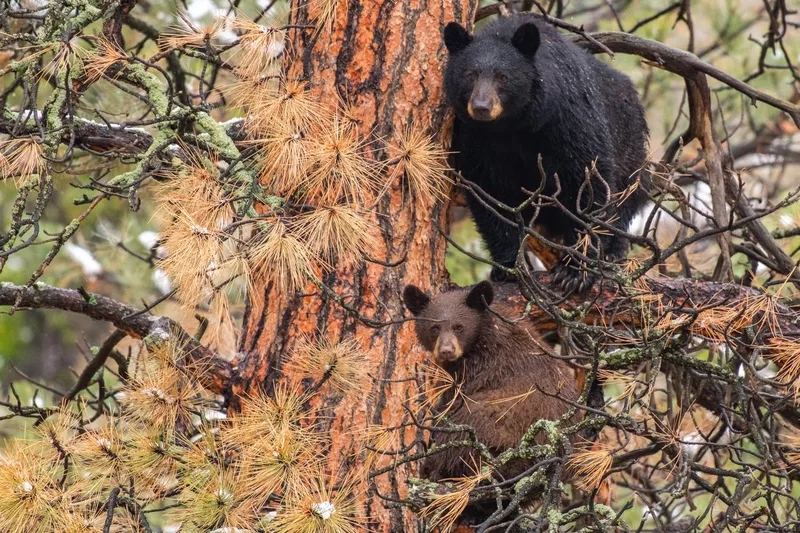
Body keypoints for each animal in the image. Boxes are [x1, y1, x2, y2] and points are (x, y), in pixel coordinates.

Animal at [404, 280, 580, 480]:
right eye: (434, 328)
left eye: (459, 326)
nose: (446, 351)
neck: (484, 335)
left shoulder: (476, 370)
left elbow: (451, 403)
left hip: (485, 423)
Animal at [444, 14, 648, 290]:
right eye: (470, 75)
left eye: (503, 76)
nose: (481, 107)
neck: (513, 124)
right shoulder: (475, 137)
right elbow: (488, 192)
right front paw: (510, 268)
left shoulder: (566, 119)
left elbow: (586, 180)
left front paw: (575, 271)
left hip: (631, 151)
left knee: (626, 198)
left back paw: (612, 253)